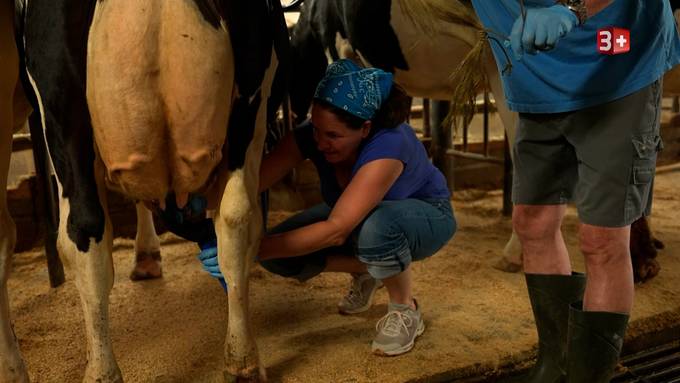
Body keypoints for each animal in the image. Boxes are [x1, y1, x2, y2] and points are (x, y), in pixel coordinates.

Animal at [1, 1, 286, 382]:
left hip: (62, 113)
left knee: (82, 232)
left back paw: (99, 371)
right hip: (250, 103)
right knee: (235, 219)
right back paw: (242, 362)